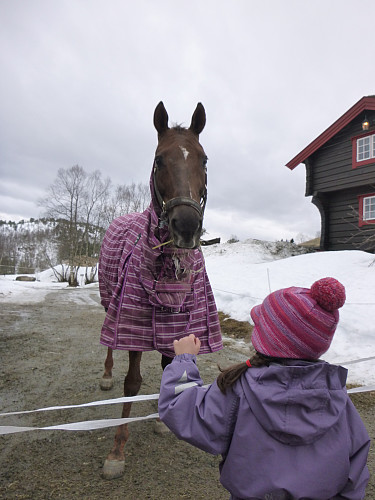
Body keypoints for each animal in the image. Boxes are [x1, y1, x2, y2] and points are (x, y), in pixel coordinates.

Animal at [98, 100, 225, 476]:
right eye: (159, 160)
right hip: (108, 301)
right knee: (108, 345)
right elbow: (132, 382)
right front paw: (117, 450)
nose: (187, 226)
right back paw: (106, 374)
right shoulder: (133, 323)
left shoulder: (179, 322)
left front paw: (163, 418)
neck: (170, 268)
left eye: (204, 160)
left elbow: (173, 365)